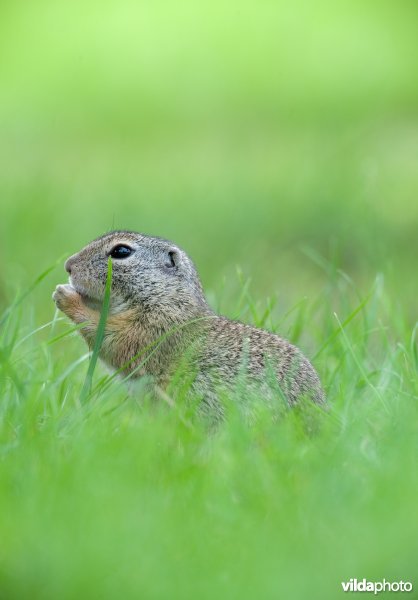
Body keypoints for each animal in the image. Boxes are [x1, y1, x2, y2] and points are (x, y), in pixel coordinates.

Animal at [54, 232, 324, 420]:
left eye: (121, 251)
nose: (68, 265)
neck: (166, 295)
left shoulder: (155, 329)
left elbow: (113, 339)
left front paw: (66, 296)